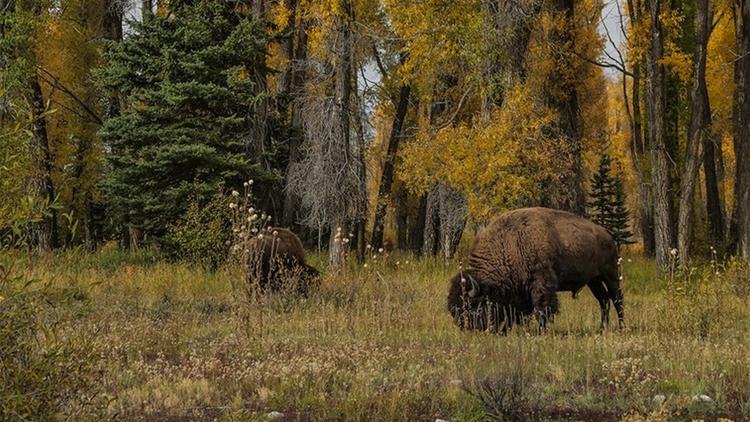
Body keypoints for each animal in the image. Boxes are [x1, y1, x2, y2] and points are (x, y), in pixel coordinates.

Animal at [450, 208, 624, 332]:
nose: (464, 326)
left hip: (610, 275)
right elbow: (514, 312)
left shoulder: (541, 283)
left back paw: (622, 327)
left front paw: (541, 331)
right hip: (593, 280)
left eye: (472, 305)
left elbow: (542, 308)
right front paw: (506, 330)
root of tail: (608, 236)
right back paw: (602, 329)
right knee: (604, 301)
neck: (509, 245)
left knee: (617, 299)